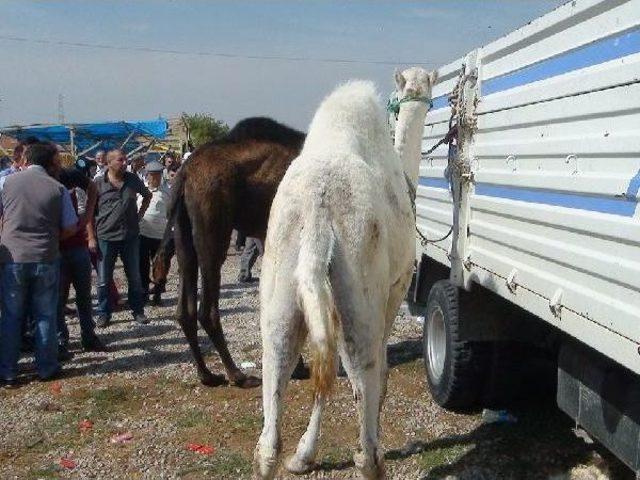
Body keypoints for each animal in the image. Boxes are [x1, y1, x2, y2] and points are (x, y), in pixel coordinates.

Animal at [154, 118, 306, 388]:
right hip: (213, 221)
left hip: (182, 230)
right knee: (207, 309)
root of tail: (184, 174)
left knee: (185, 307)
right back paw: (237, 375)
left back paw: (207, 375)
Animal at [252, 67, 438, 480]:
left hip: (282, 282)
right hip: (361, 281)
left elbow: (328, 372)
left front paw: (304, 455)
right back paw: (372, 455)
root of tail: (317, 208)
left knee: (271, 416)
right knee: (363, 372)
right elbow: (380, 375)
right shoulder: (397, 286)